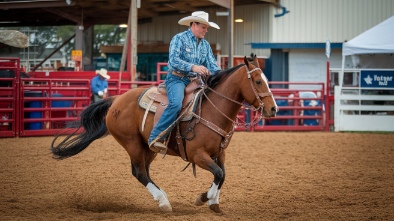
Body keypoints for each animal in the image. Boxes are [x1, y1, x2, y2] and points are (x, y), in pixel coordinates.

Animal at [50, 54, 278, 212]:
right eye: (258, 81)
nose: (273, 109)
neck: (212, 110)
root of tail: (116, 100)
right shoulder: (198, 154)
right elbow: (219, 174)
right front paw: (203, 198)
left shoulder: (220, 153)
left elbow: (222, 175)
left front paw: (213, 201)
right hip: (132, 143)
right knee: (139, 172)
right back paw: (164, 202)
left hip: (148, 147)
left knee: (145, 172)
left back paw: (161, 198)